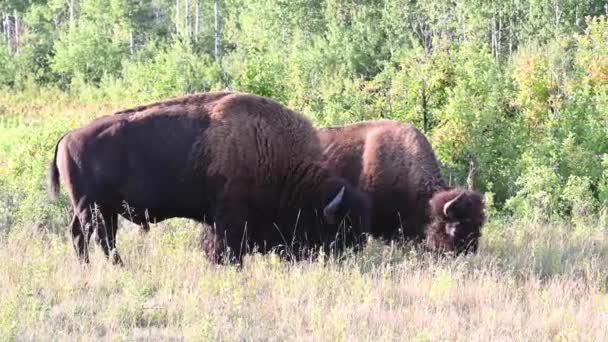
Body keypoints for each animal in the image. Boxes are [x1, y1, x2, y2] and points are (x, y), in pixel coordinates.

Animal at [47, 92, 370, 266]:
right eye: (338, 229)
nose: (352, 255)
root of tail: (67, 137)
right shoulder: (230, 218)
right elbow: (227, 248)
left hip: (100, 209)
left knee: (91, 236)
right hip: (93, 208)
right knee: (93, 236)